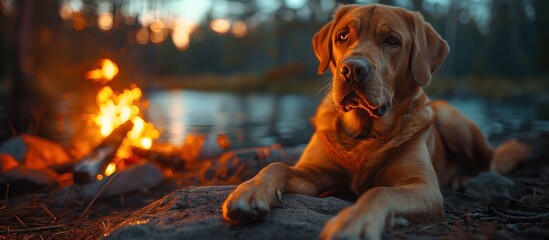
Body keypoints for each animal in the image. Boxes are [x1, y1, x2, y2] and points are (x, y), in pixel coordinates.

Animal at [220, 4, 528, 240]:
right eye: (342, 36)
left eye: (392, 40)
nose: (352, 69)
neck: (363, 132)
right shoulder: (314, 173)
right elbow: (277, 165)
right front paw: (251, 189)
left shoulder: (425, 189)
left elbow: (379, 192)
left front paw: (354, 221)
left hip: (450, 118)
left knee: (489, 164)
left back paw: (462, 177)